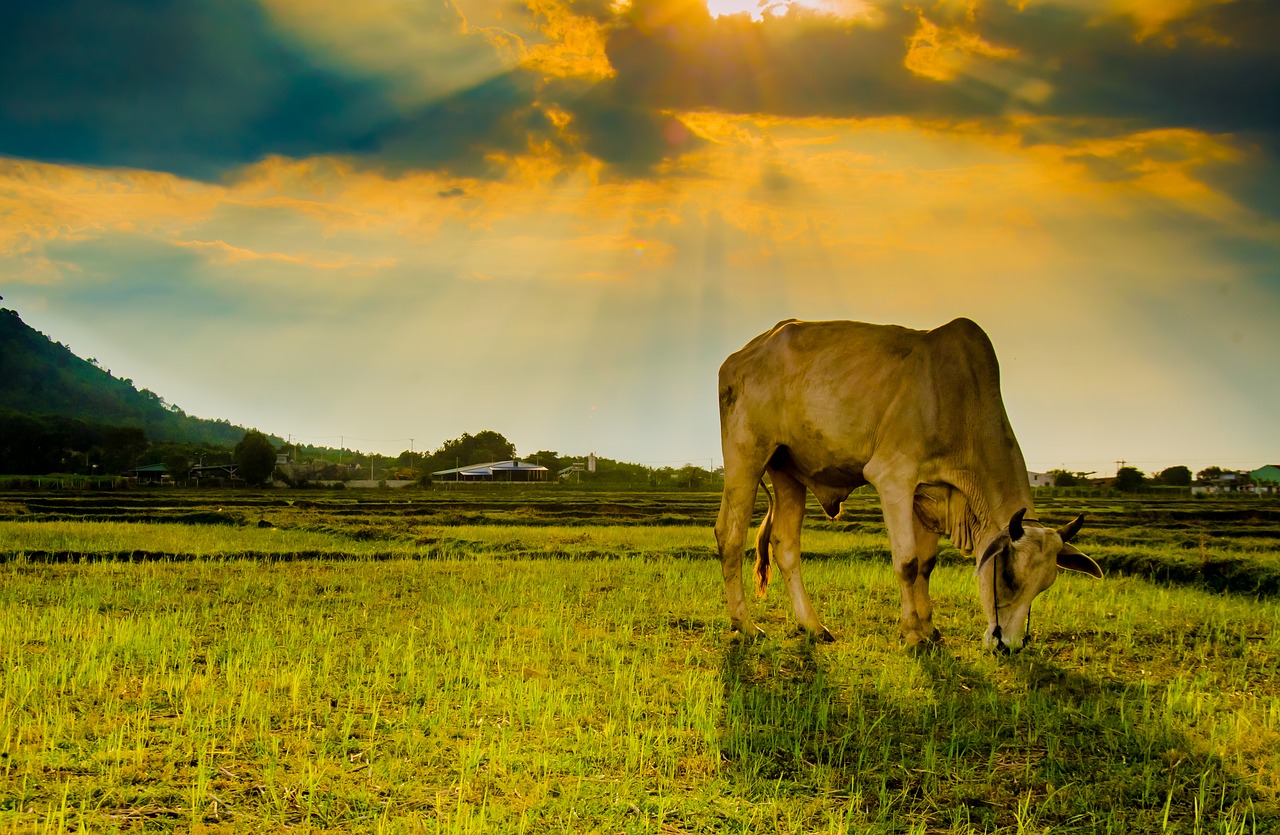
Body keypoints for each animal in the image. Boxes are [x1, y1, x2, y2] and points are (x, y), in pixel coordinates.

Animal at [716, 320, 1105, 653]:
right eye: (1008, 576)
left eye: (1045, 584)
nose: (1008, 646)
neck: (958, 403)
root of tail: (741, 355)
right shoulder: (893, 478)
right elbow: (907, 563)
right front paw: (912, 634)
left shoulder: (929, 494)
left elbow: (927, 564)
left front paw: (929, 629)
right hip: (747, 457)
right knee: (729, 535)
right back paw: (745, 624)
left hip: (787, 471)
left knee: (785, 545)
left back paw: (812, 625)